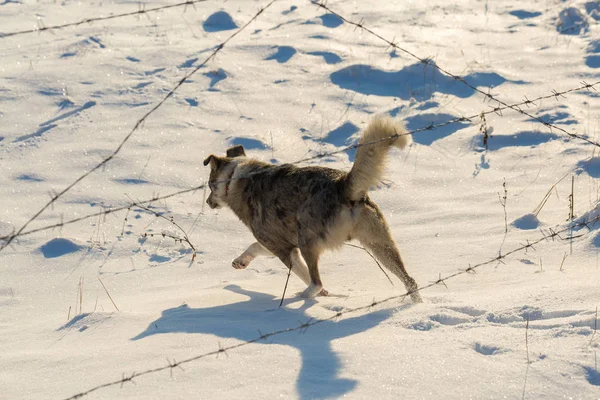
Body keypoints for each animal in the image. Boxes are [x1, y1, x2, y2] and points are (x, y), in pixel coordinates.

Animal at [204, 117, 424, 302]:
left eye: (209, 185)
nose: (207, 202)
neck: (234, 178)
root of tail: (342, 186)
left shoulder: (284, 248)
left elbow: (300, 272)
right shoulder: (279, 241)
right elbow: (254, 246)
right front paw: (240, 262)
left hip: (307, 241)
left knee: (316, 282)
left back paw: (302, 296)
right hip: (379, 244)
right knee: (410, 280)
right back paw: (416, 306)